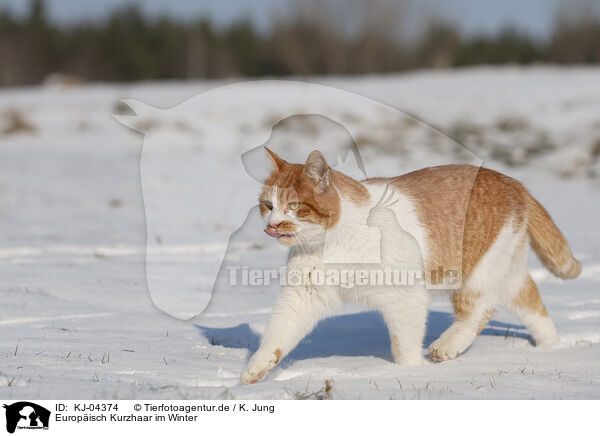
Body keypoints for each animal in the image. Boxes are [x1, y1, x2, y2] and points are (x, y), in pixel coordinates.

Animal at [240, 149, 580, 384]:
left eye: (294, 205)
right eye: (268, 206)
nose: (272, 225)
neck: (331, 243)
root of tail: (513, 181)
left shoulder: (405, 297)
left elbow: (405, 345)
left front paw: (411, 375)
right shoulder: (303, 296)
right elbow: (278, 335)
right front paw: (256, 369)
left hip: (477, 271)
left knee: (479, 308)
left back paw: (448, 346)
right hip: (504, 269)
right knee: (529, 299)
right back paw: (549, 347)